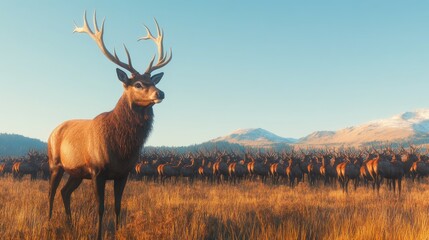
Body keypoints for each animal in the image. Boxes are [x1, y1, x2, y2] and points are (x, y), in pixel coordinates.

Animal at [48, 11, 171, 240]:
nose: (161, 93)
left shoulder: (123, 173)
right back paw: (49, 222)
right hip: (55, 163)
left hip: (76, 172)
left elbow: (118, 206)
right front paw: (98, 234)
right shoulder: (97, 171)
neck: (121, 147)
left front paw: (118, 231)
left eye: (153, 80)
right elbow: (100, 207)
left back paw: (70, 224)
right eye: (138, 84)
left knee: (64, 192)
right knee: (51, 191)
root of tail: (52, 131)